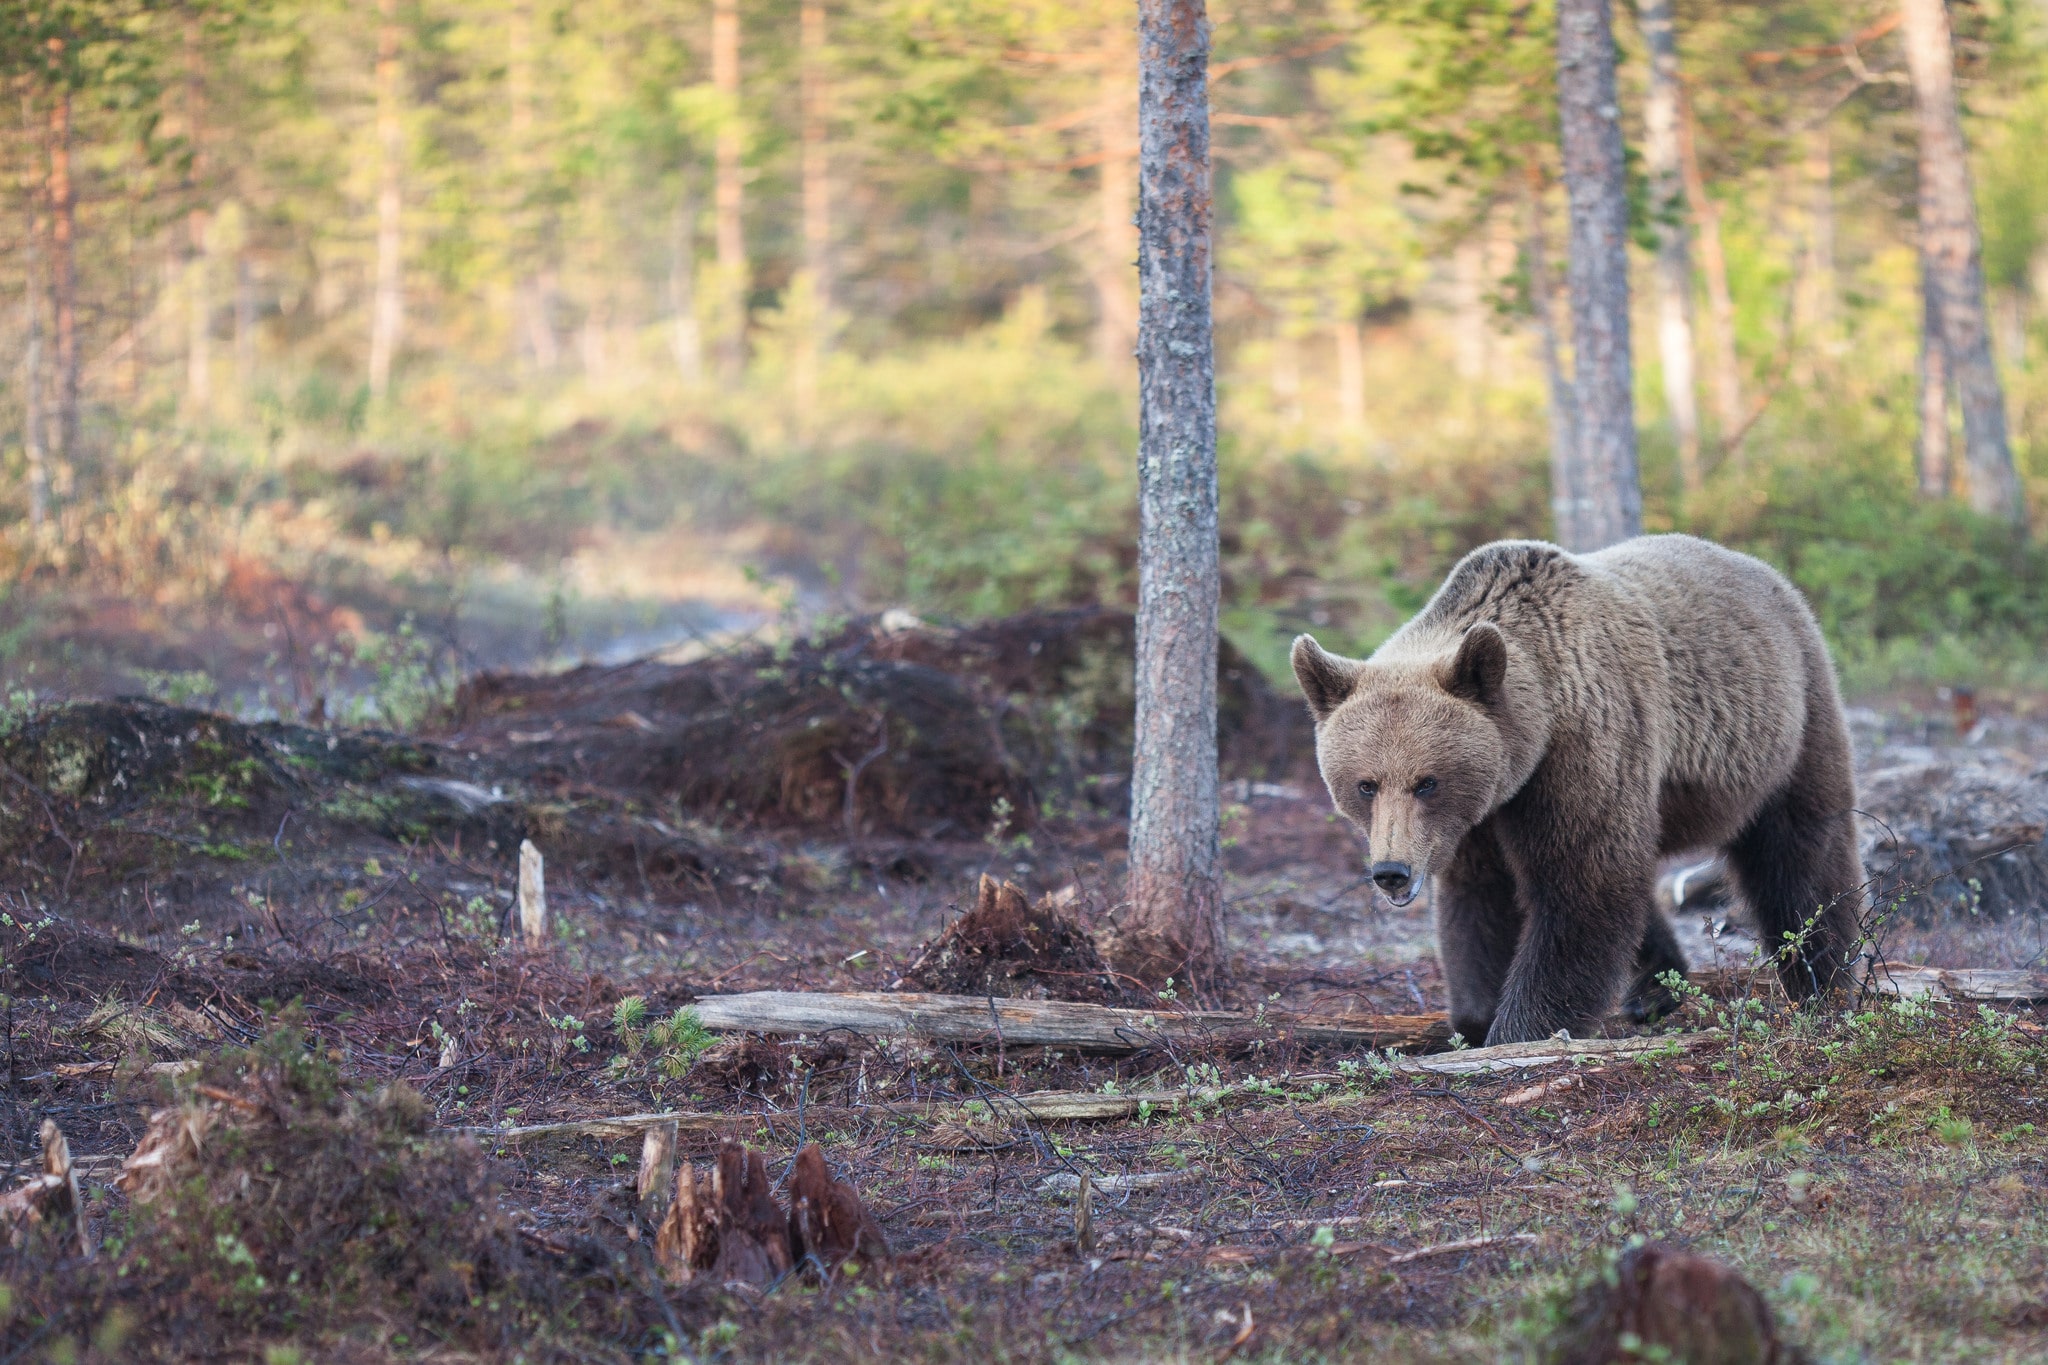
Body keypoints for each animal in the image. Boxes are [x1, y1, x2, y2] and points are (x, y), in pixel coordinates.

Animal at [1294, 532, 1875, 1047]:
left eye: (1427, 782)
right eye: (1366, 784)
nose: (1392, 872)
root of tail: (1764, 571)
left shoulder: (1582, 749)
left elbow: (1582, 885)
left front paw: (1519, 1030)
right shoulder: (1476, 819)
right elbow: (1480, 900)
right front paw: (1474, 1019)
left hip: (1789, 718)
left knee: (1801, 849)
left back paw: (1822, 980)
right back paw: (1655, 988)